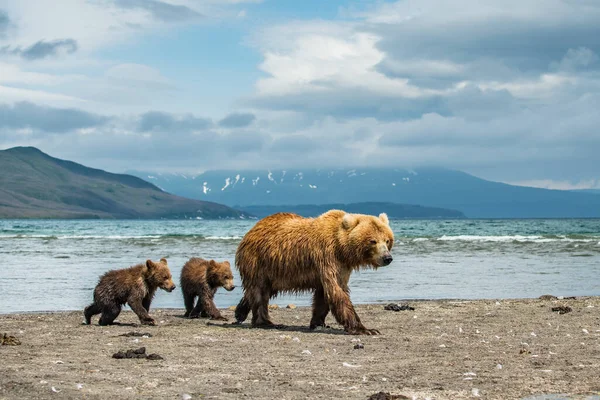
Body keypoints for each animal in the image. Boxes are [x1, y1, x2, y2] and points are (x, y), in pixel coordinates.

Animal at [233, 209, 394, 334]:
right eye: (373, 241)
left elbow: (324, 294)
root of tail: (252, 229)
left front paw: (318, 323)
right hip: (259, 261)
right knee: (260, 292)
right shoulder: (327, 256)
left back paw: (240, 311)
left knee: (260, 290)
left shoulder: (341, 266)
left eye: (387, 240)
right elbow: (336, 291)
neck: (342, 248)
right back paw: (266, 322)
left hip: (274, 271)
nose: (387, 258)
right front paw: (366, 329)